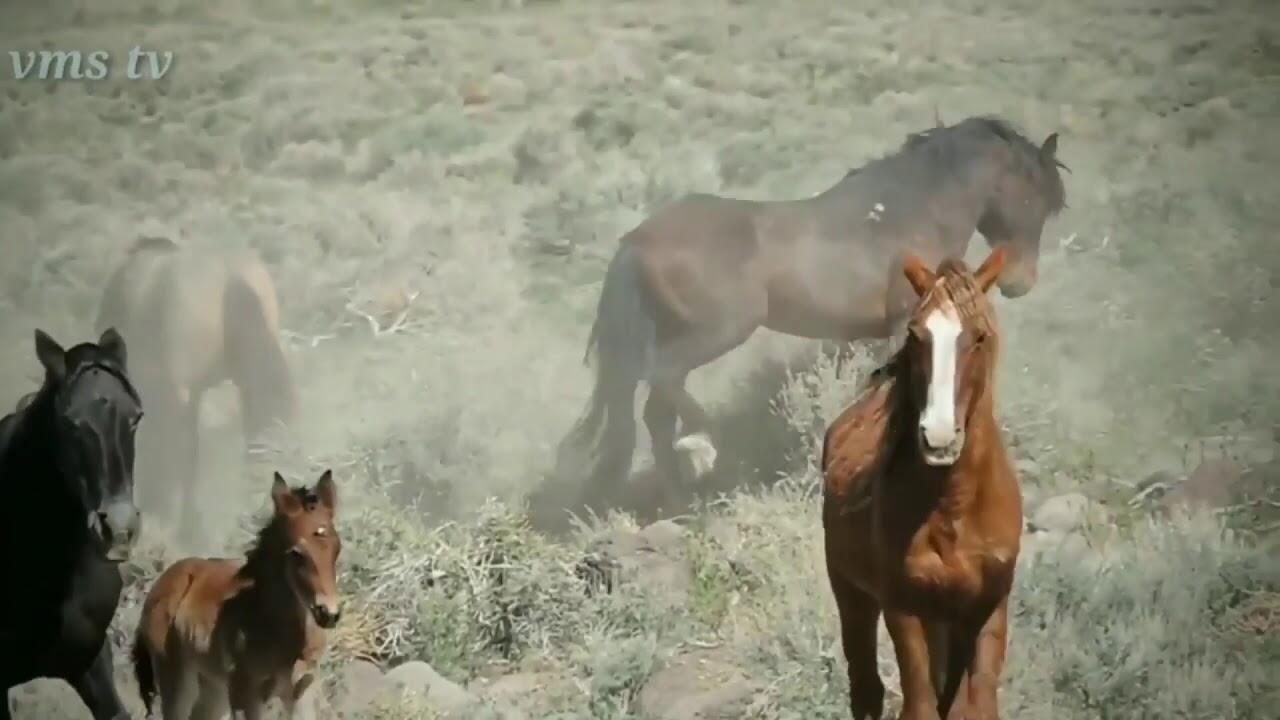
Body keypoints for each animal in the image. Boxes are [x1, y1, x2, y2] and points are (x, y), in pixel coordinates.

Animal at [131, 466, 340, 717]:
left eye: (337, 548)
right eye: (296, 553)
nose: (328, 613)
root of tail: (161, 583)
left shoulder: (302, 693)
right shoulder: (245, 696)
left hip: (212, 685)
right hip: (177, 679)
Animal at [560, 116, 1070, 499]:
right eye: (1032, 196)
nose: (1021, 282)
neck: (916, 210)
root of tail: (635, 240)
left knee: (654, 411)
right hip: (716, 331)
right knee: (663, 382)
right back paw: (702, 448)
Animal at [824, 248, 1024, 717]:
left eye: (980, 336)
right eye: (916, 336)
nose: (938, 437)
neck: (956, 510)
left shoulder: (987, 608)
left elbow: (974, 707)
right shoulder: (903, 609)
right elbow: (919, 705)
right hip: (853, 595)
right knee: (865, 686)